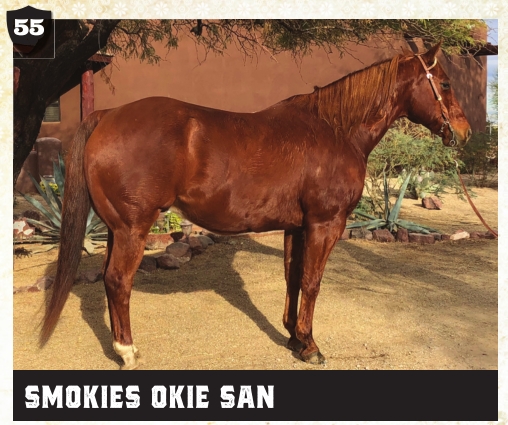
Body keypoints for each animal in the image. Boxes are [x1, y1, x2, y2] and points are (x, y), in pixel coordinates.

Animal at [40, 42, 471, 369]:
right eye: (445, 82)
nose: (465, 133)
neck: (335, 130)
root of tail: (107, 115)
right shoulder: (325, 224)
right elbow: (312, 282)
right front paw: (311, 346)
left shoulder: (297, 227)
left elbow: (293, 278)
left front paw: (294, 338)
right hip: (134, 228)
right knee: (118, 281)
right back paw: (128, 351)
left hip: (117, 228)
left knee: (111, 282)